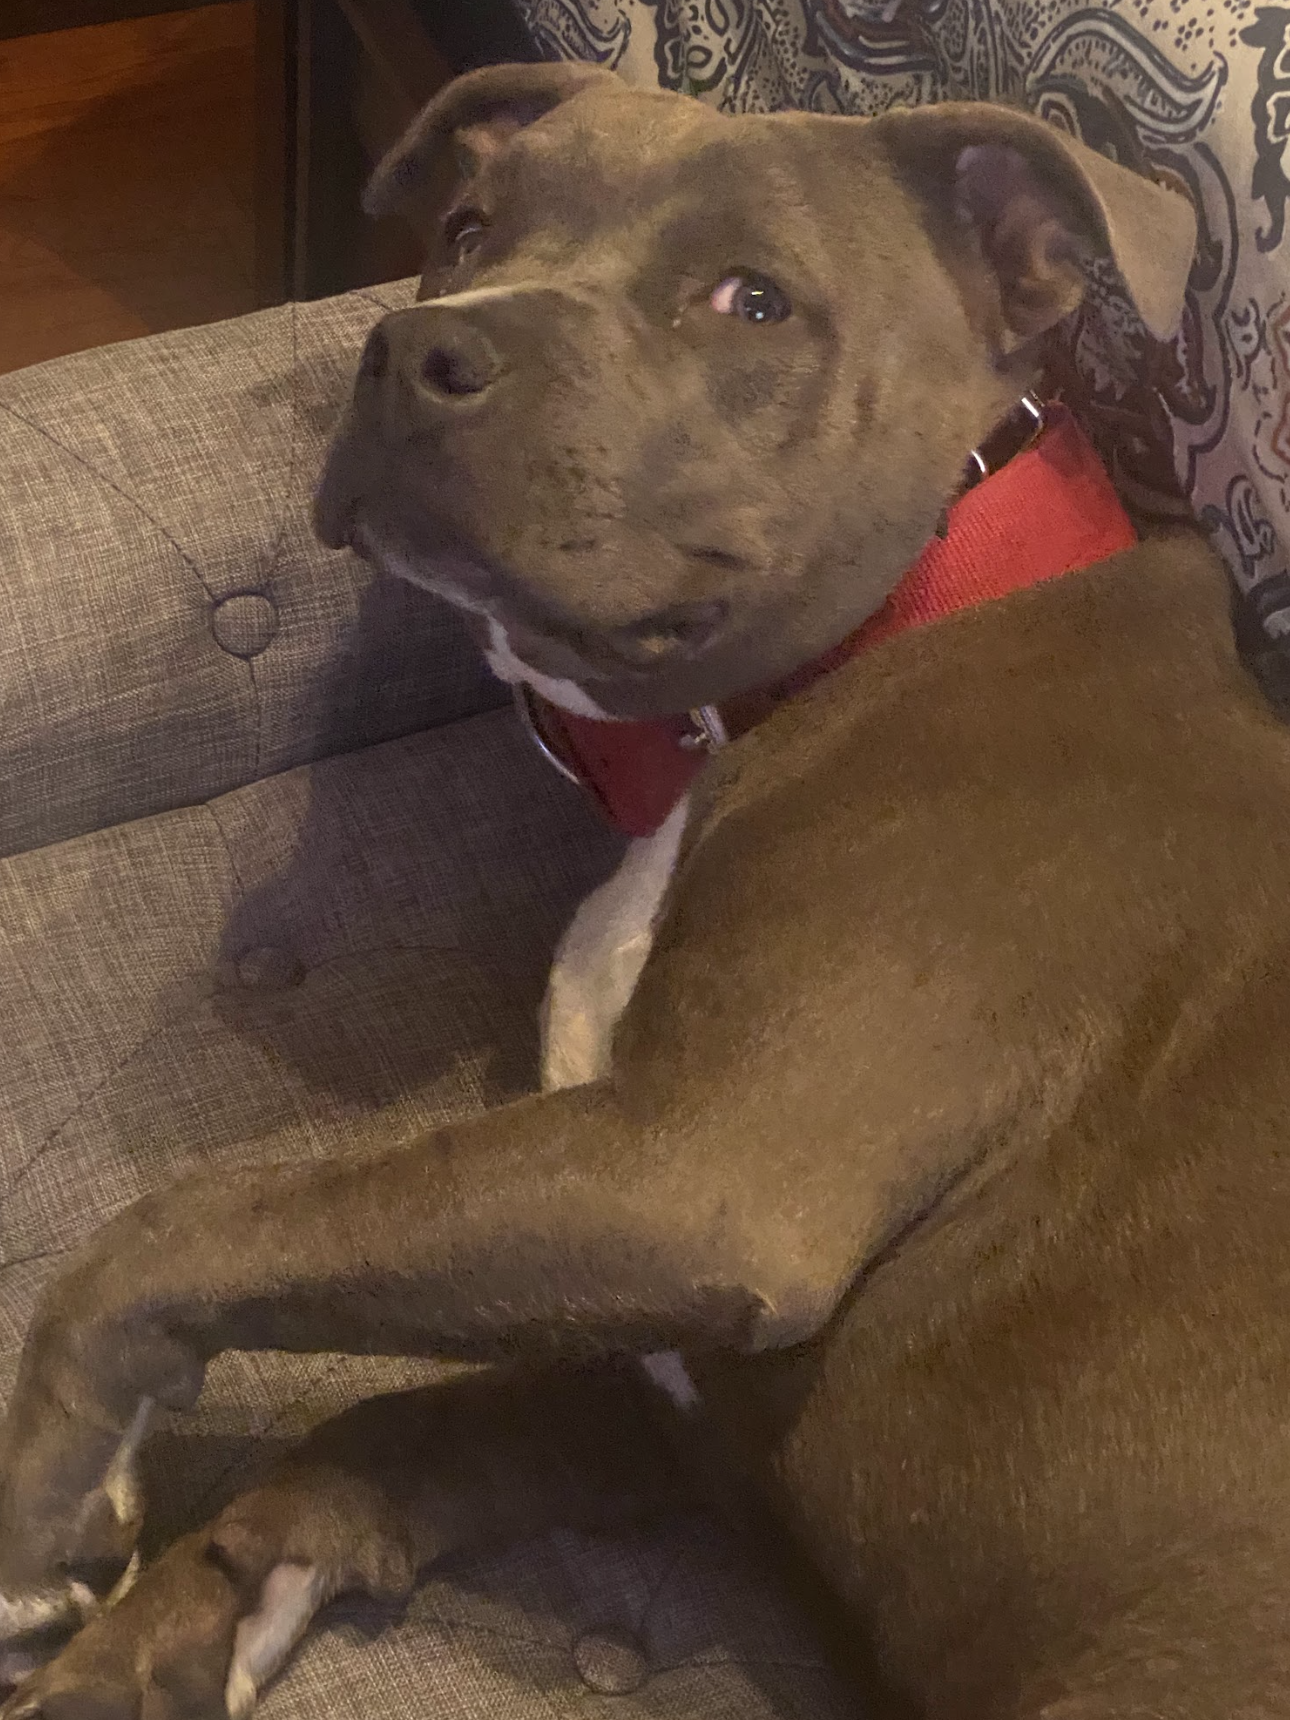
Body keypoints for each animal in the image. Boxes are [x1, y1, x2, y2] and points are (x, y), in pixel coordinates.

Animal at [10, 57, 1290, 1720]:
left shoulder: (697, 1173)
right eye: (468, 228)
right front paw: (167, 1632)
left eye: (751, 301)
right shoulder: (669, 1387)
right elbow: (392, 1424)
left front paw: (52, 1482)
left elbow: (210, 1214)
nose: (415, 346)